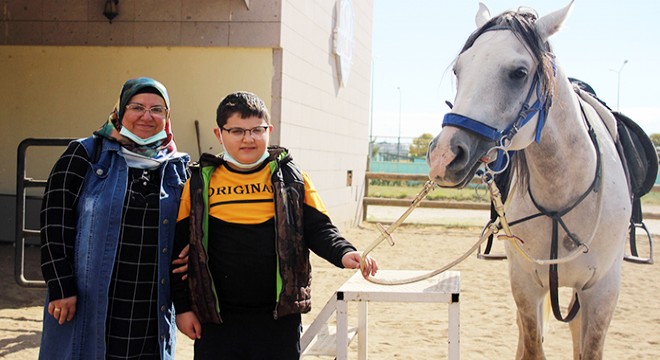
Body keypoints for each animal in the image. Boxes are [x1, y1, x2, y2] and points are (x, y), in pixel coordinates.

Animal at [426, 1, 632, 358]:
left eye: (519, 73)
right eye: (458, 70)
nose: (443, 157)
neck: (562, 195)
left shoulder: (603, 291)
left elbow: (590, 348)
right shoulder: (525, 284)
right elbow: (533, 345)